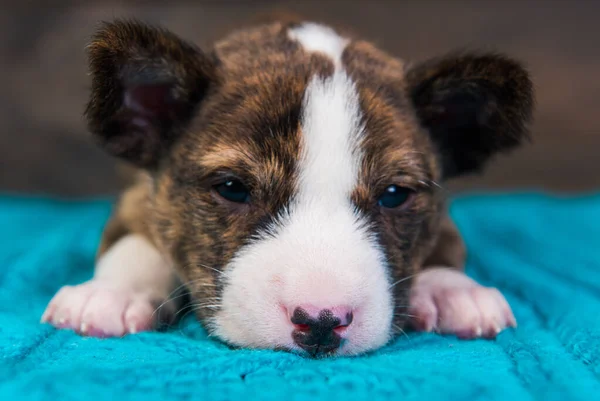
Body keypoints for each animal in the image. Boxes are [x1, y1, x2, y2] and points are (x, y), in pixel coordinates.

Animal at [39, 16, 532, 356]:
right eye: (232, 188)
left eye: (395, 196)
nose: (321, 322)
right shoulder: (138, 198)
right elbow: (133, 245)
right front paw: (111, 293)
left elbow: (445, 247)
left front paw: (454, 290)